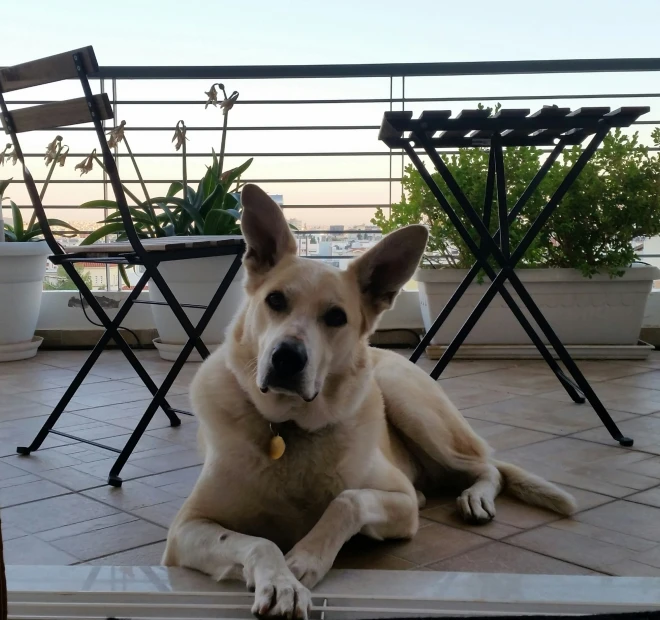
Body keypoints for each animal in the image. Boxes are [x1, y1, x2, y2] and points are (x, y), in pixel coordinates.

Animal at [162, 185, 576, 620]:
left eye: (336, 317)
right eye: (275, 300)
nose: (287, 358)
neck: (290, 429)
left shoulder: (401, 502)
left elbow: (348, 500)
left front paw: (304, 560)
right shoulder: (186, 528)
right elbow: (258, 541)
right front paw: (279, 582)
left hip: (411, 406)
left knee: (487, 467)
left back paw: (474, 496)